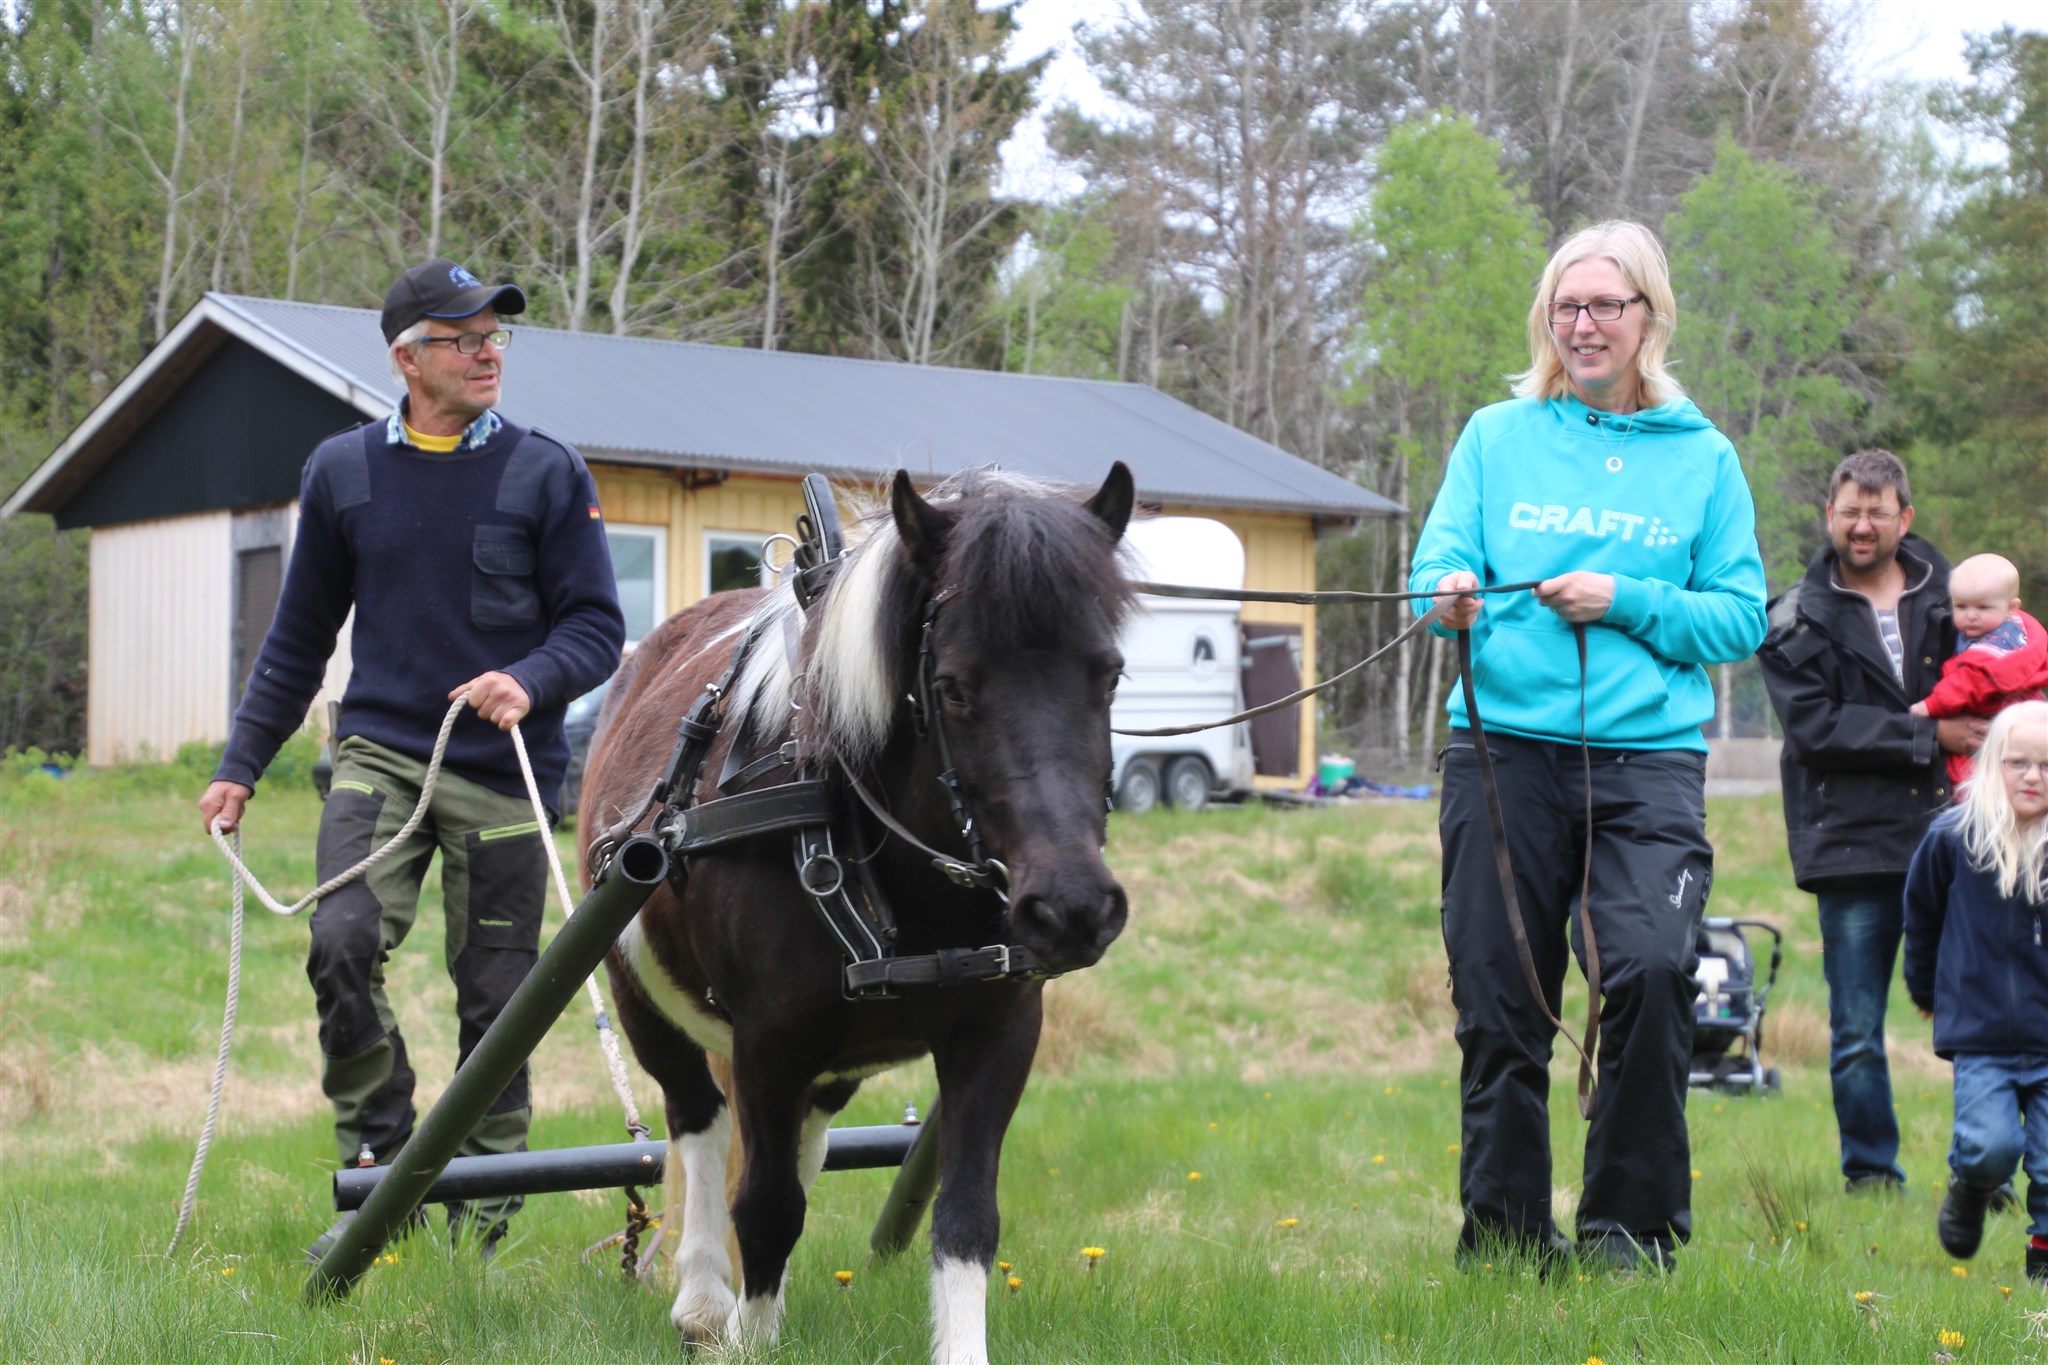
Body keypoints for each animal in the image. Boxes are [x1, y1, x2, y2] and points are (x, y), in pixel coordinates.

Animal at [581, 464, 1138, 1358]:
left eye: (1109, 673)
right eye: (952, 686)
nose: (1074, 907)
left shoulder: (999, 1034)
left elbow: (965, 1217)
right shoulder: (768, 1042)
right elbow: (765, 1204)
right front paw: (750, 1335)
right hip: (644, 1000)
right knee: (699, 1124)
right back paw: (703, 1295)